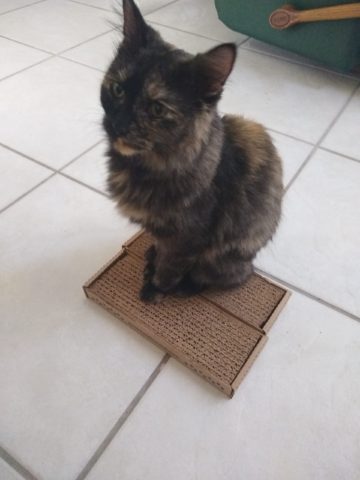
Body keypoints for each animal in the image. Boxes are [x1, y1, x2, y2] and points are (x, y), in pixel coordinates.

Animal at [100, 0, 282, 302]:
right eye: (117, 90)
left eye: (157, 109)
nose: (118, 125)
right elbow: (160, 248)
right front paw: (152, 261)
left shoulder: (187, 239)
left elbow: (170, 267)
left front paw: (155, 289)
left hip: (226, 257)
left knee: (225, 277)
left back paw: (187, 286)